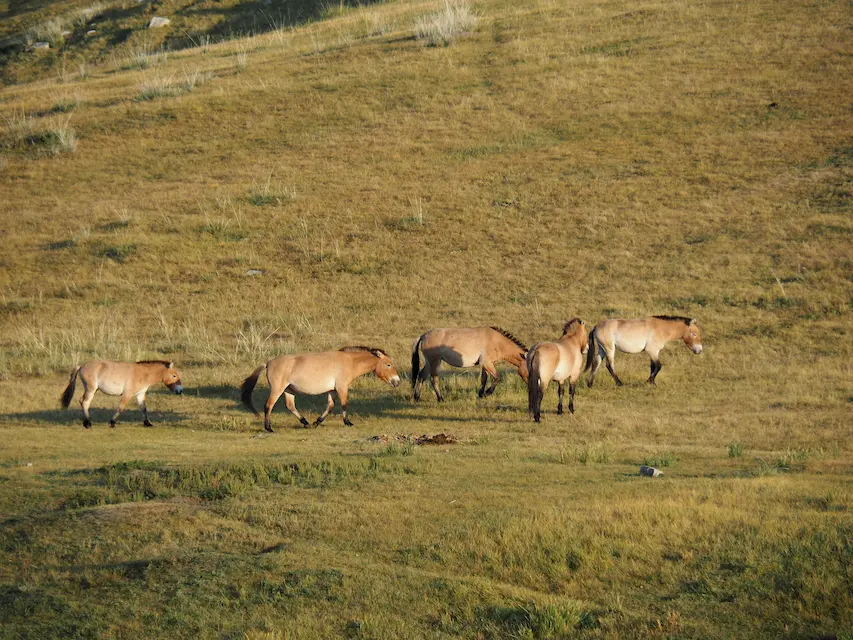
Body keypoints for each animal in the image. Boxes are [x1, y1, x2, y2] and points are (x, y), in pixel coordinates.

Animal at [241, 346, 401, 432]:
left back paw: (305, 423)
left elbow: (330, 406)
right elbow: (344, 404)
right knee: (268, 405)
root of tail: (268, 363)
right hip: (277, 389)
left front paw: (317, 422)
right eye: (388, 364)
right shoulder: (342, 387)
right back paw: (269, 428)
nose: (397, 381)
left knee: (290, 405)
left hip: (288, 390)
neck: (349, 362)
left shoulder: (332, 390)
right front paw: (348, 422)